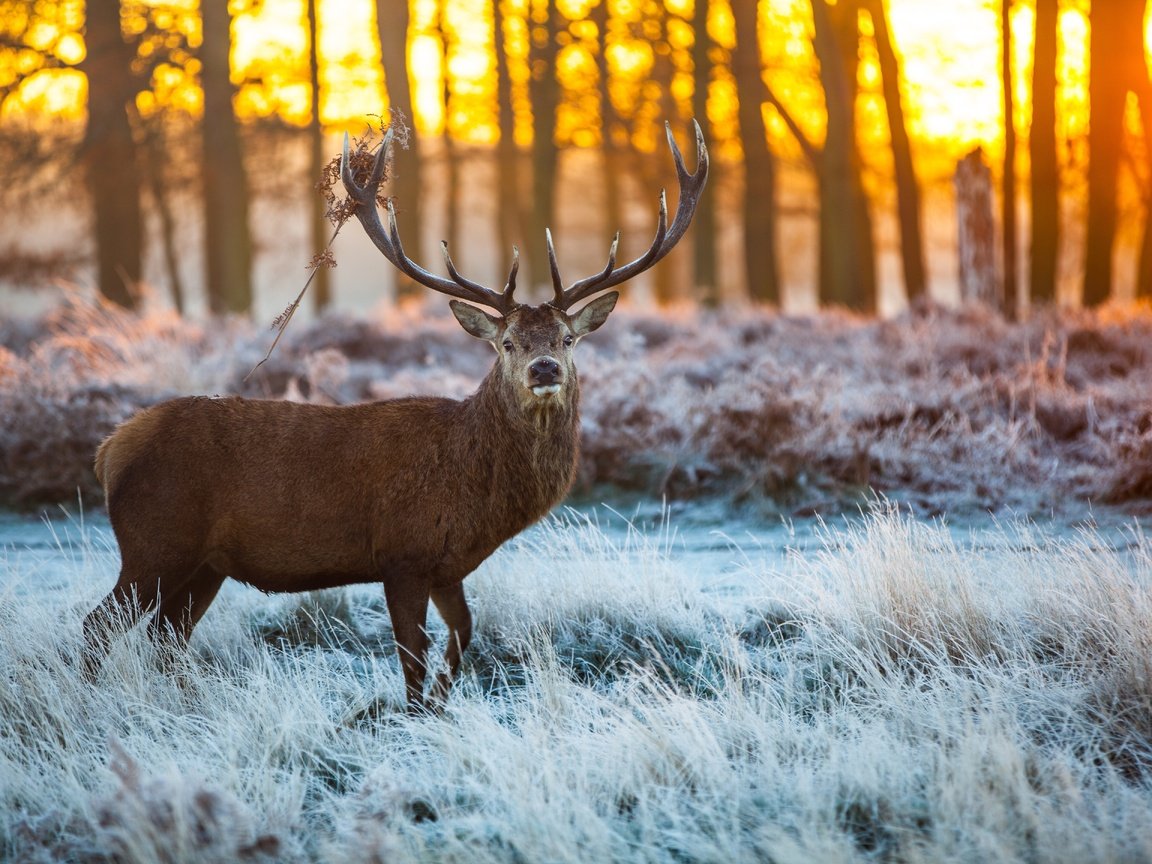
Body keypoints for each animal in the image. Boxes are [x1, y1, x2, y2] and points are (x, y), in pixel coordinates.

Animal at [81, 122, 705, 718]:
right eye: (507, 343)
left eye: (567, 339)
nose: (545, 368)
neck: (479, 496)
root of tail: (109, 450)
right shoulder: (402, 554)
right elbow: (412, 655)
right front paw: (413, 715)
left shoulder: (448, 566)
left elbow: (463, 636)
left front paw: (440, 706)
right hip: (154, 542)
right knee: (99, 628)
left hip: (205, 564)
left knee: (166, 638)